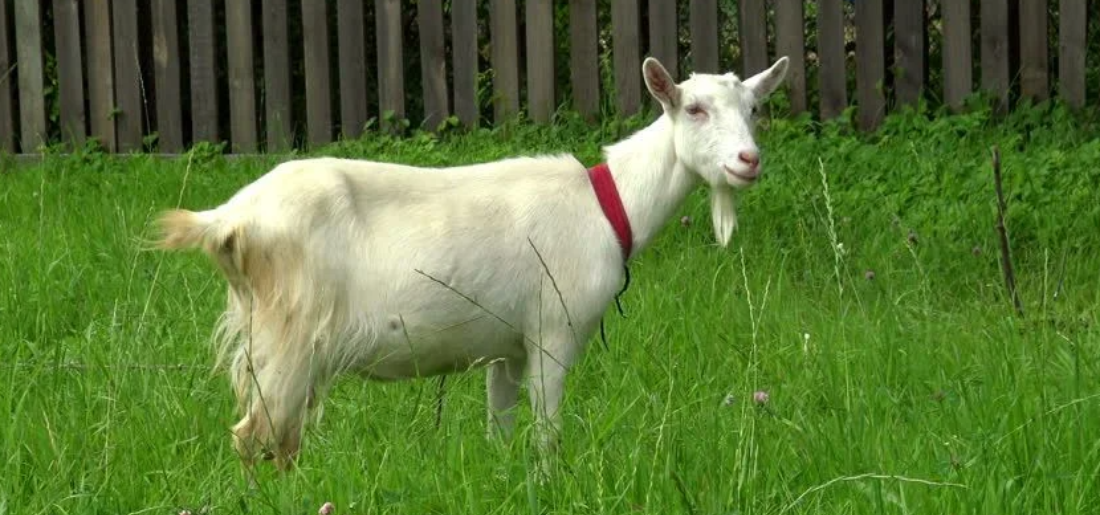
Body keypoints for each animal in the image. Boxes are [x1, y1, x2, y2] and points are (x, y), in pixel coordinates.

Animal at [154, 55, 789, 472]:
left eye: (755, 107)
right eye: (695, 108)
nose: (748, 160)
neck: (609, 207)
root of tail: (229, 218)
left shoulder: (505, 346)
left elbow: (499, 428)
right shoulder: (553, 330)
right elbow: (546, 432)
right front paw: (547, 482)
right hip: (292, 330)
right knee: (257, 436)